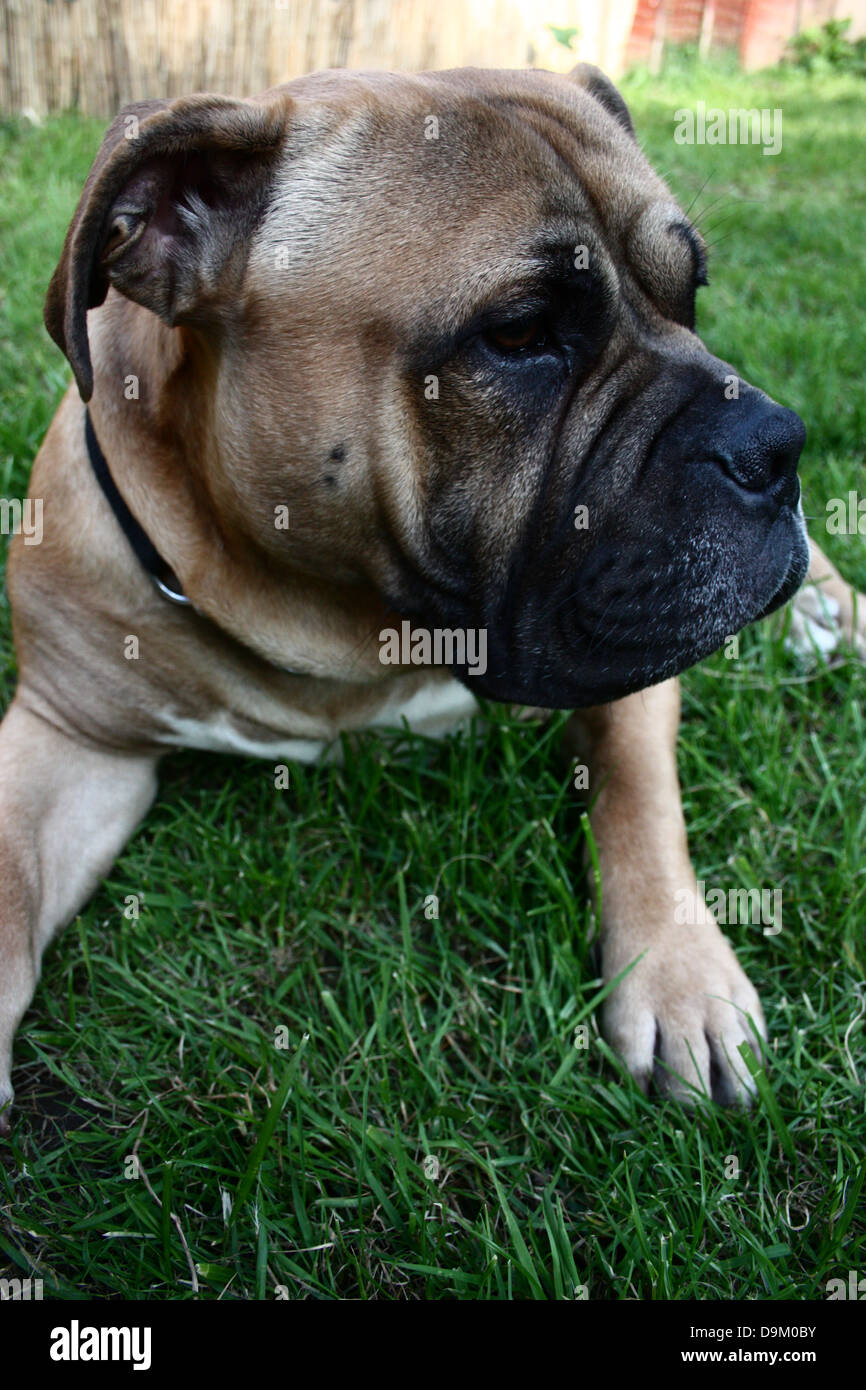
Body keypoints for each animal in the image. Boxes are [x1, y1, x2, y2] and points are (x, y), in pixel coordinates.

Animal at [1, 59, 866, 1134]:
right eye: (520, 334)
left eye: (690, 295)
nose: (773, 446)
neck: (347, 632)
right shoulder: (70, 739)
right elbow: (7, 888)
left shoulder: (634, 664)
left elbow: (641, 799)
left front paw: (680, 978)